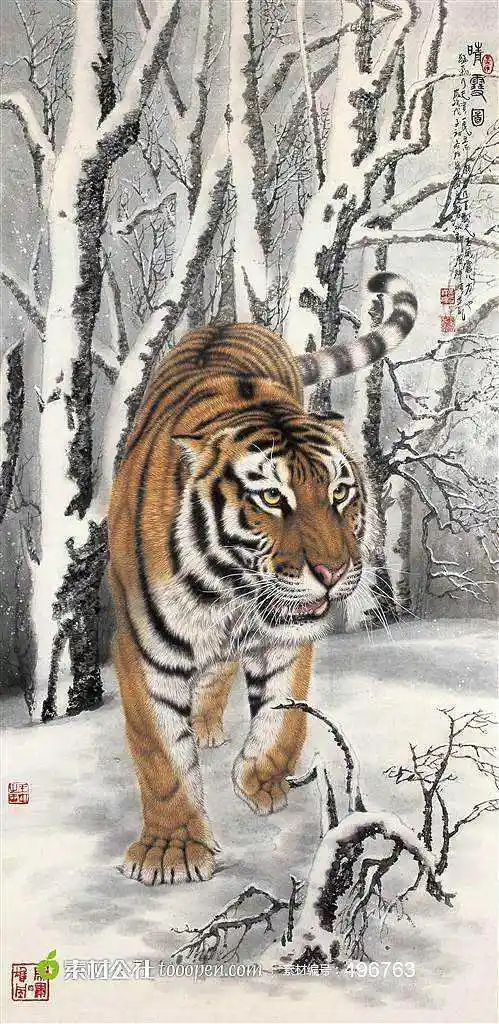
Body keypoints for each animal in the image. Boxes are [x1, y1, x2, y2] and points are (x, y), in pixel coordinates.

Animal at [108, 271, 417, 886]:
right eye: (272, 498)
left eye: (339, 493)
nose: (334, 572)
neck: (226, 589)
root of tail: (232, 322)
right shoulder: (143, 649)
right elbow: (160, 754)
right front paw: (171, 851)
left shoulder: (287, 638)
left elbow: (284, 716)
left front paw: (261, 781)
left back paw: (209, 726)